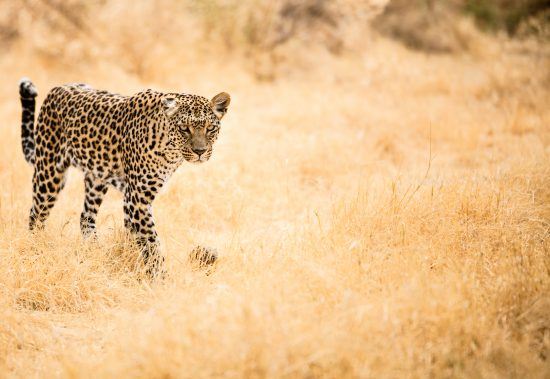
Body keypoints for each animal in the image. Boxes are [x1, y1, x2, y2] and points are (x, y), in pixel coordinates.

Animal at [18, 77, 231, 278]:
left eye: (210, 128)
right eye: (184, 128)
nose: (200, 152)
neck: (170, 150)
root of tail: (58, 88)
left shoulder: (132, 199)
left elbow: (134, 236)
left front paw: (133, 265)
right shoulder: (138, 198)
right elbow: (151, 241)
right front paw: (160, 278)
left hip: (96, 178)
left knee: (86, 217)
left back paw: (95, 251)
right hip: (49, 173)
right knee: (36, 214)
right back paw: (35, 250)